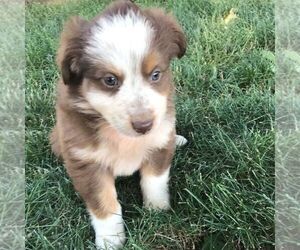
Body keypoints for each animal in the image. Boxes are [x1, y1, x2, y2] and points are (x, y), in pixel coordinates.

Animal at [50, 0, 186, 249]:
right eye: (110, 80)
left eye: (155, 75)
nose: (144, 126)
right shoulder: (86, 162)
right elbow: (104, 204)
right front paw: (110, 240)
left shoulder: (159, 143)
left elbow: (154, 181)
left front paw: (157, 211)